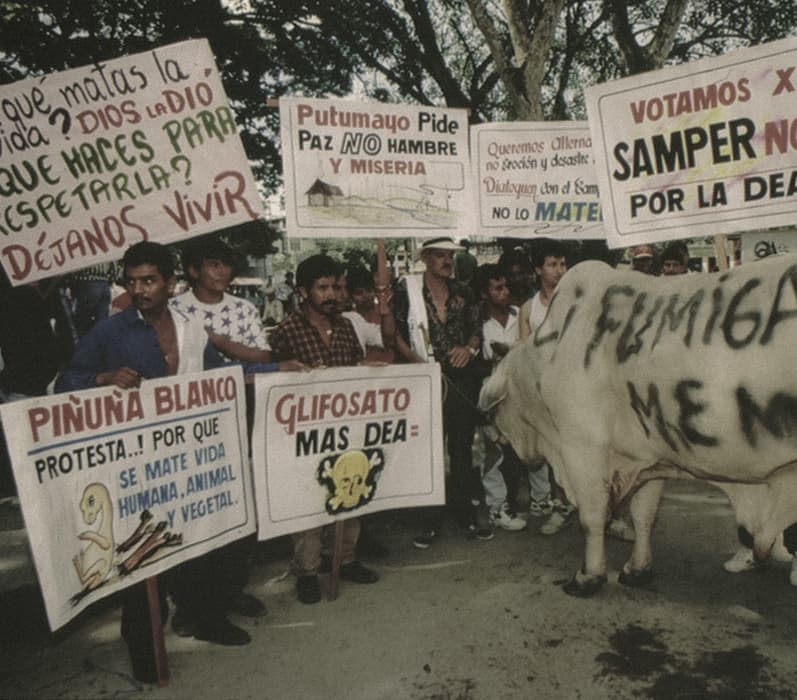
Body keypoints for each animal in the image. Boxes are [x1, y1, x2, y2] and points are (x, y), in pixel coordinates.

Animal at [482, 258, 796, 596]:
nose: (488, 432)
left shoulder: (582, 448)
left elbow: (592, 518)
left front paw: (587, 576)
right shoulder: (650, 454)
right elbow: (644, 515)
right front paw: (637, 569)